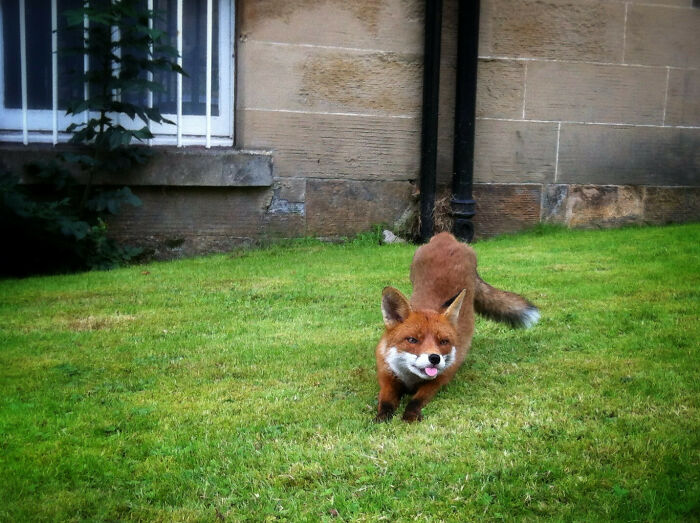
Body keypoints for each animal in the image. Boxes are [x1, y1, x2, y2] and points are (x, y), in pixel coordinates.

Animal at [374, 232, 539, 422]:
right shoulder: (387, 376)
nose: (435, 358)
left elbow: (417, 399)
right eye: (412, 340)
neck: (411, 379)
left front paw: (410, 415)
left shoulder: (440, 378)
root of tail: (445, 236)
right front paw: (382, 416)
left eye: (444, 341)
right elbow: (385, 400)